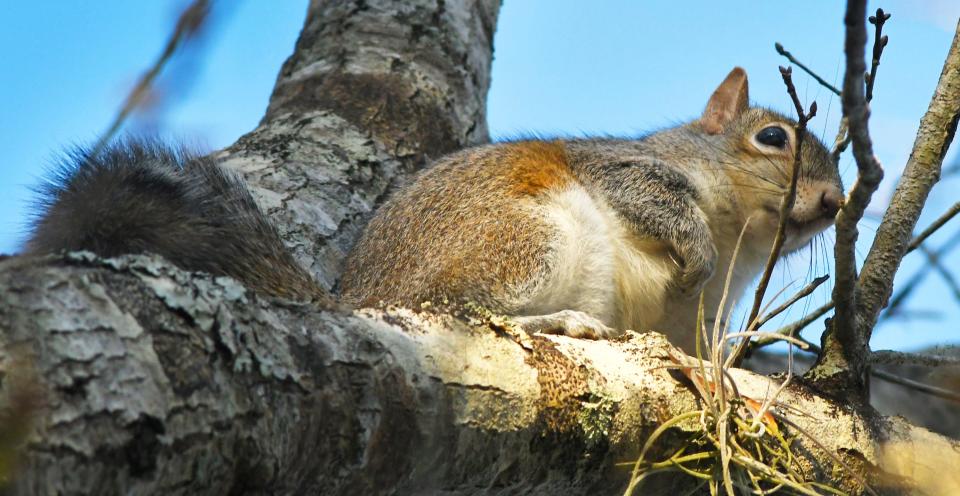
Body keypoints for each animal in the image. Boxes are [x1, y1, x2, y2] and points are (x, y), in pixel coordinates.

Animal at [24, 67, 840, 352]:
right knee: (460, 308)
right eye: (773, 137)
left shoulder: (699, 320)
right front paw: (694, 251)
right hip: (526, 237)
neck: (742, 244)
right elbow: (656, 204)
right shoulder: (626, 171)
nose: (836, 203)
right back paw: (558, 321)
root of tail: (359, 299)